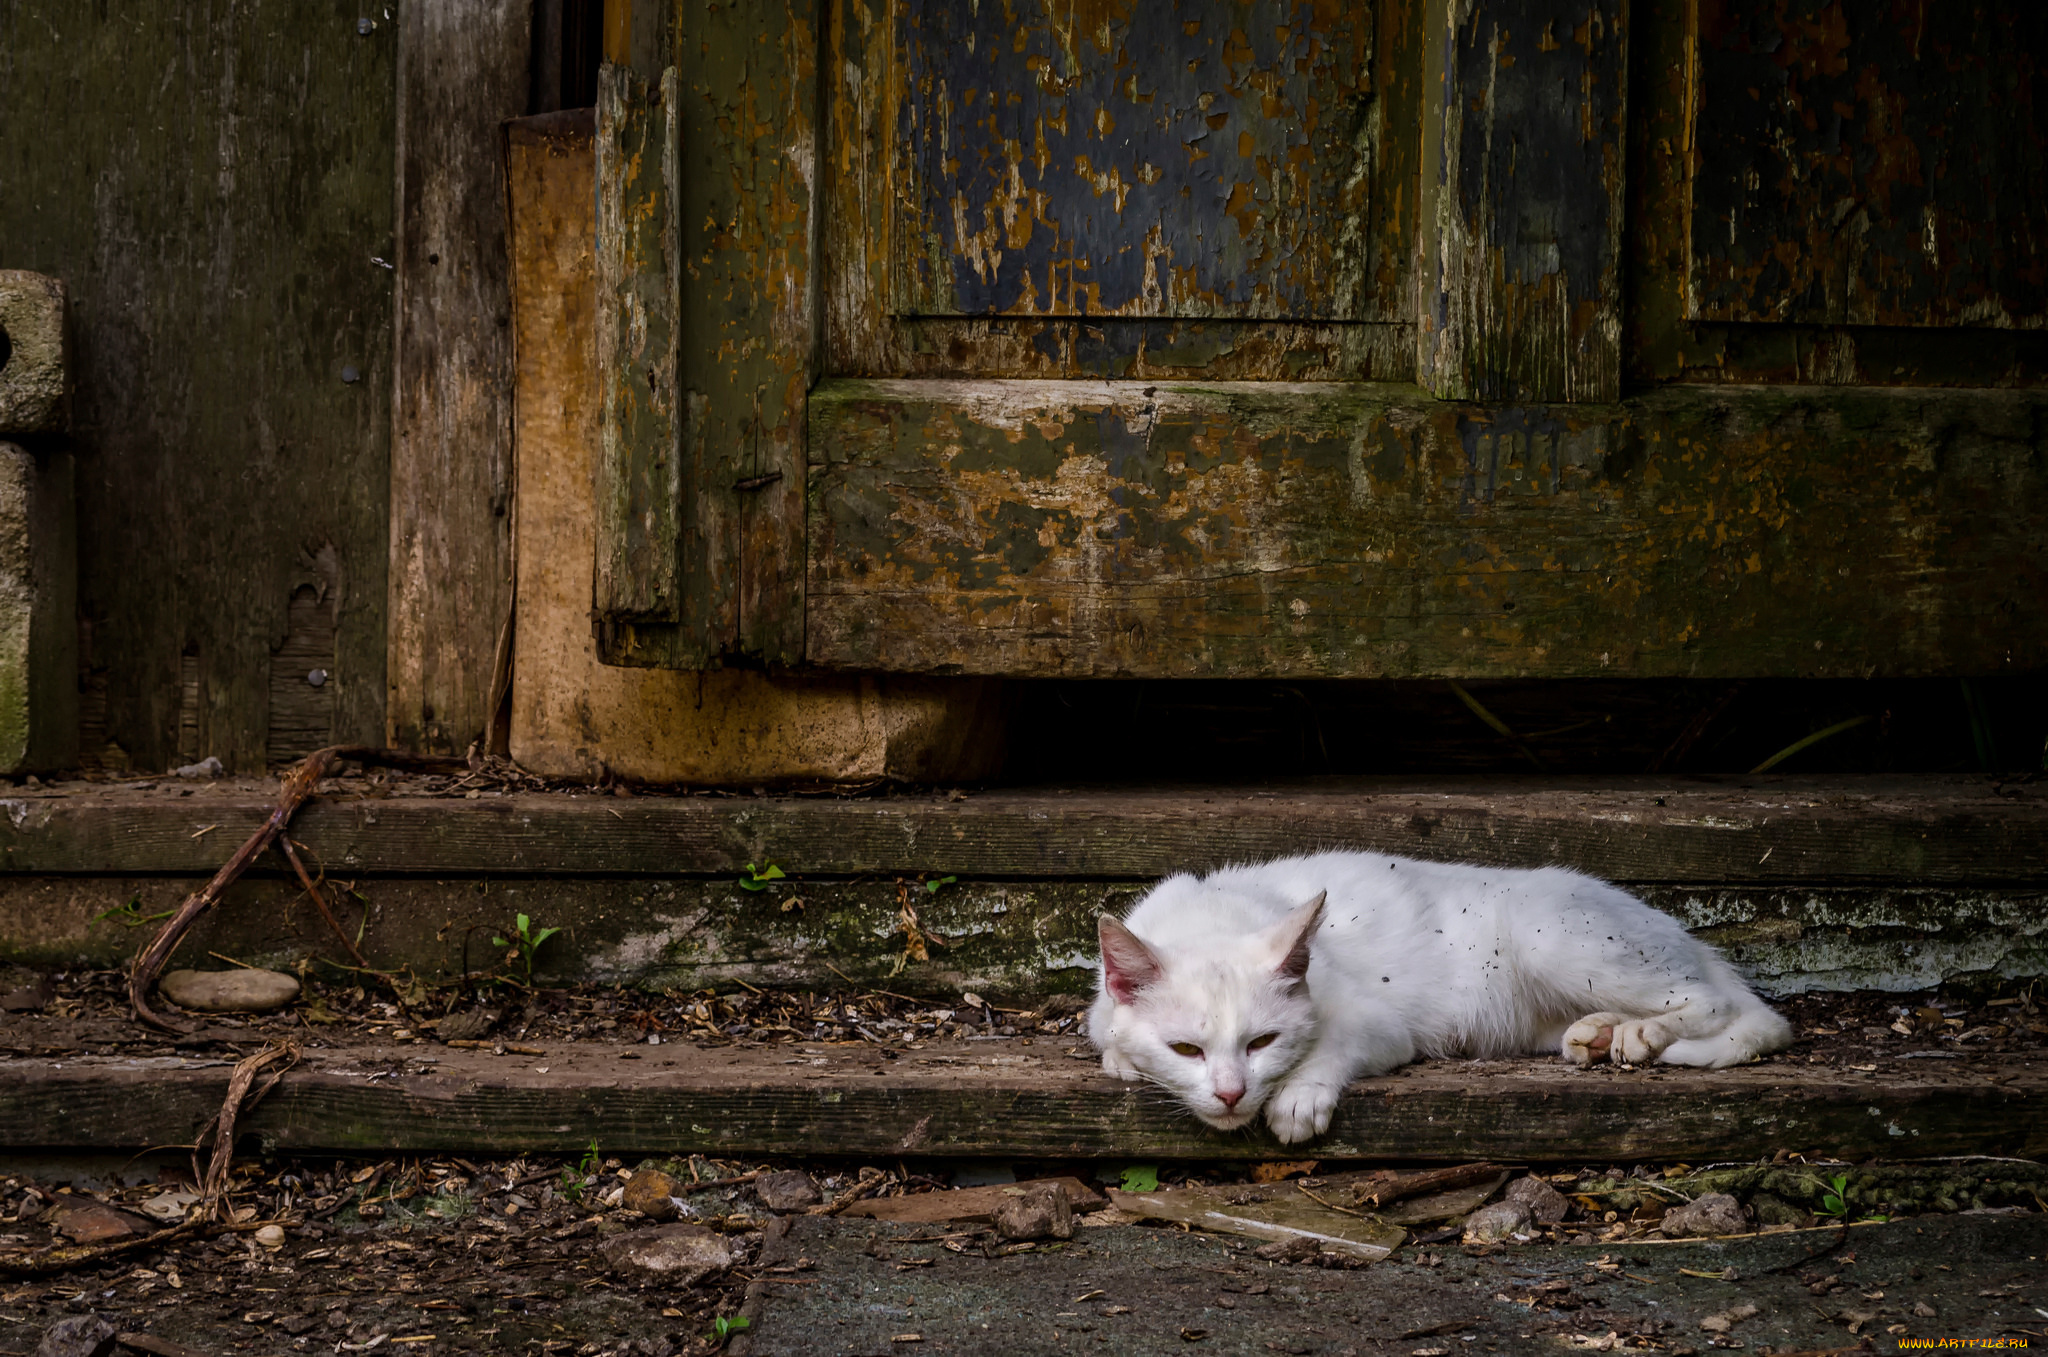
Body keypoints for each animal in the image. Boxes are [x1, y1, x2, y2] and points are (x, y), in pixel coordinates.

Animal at [1089, 855, 1794, 1137]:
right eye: (1187, 1049)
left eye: (1262, 1042)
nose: (1232, 1094)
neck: (1212, 916)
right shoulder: (1101, 1013)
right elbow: (1108, 1040)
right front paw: (1123, 1061)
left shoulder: (1380, 1024)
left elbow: (1329, 1050)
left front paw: (1297, 1098)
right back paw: (1597, 1035)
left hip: (1552, 936)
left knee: (1722, 1006)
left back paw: (1643, 1034)